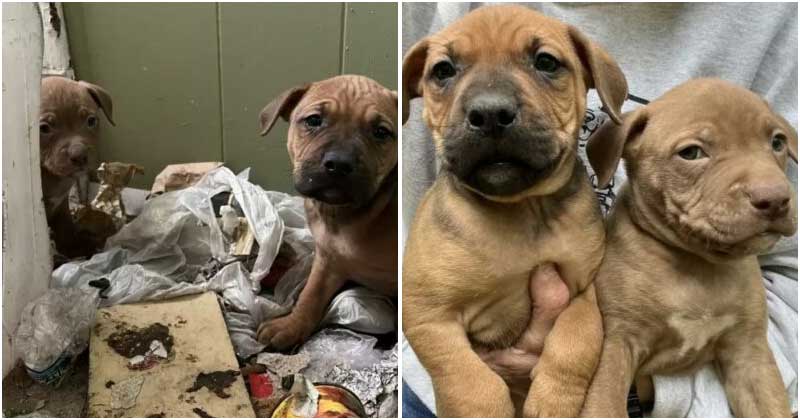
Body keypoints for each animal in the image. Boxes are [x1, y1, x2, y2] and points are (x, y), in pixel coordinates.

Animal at [39, 76, 115, 258]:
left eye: (91, 121)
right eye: (44, 128)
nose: (79, 156)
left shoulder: (61, 204)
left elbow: (65, 227)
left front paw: (74, 247)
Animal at [256, 76, 396, 352]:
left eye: (381, 133)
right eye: (313, 121)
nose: (339, 164)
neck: (340, 214)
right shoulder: (328, 259)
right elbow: (311, 295)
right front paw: (290, 327)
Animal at [404, 5, 628, 416]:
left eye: (546, 62)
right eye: (443, 70)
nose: (490, 113)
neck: (523, 207)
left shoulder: (583, 291)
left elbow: (578, 341)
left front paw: (555, 400)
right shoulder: (428, 314)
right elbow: (468, 380)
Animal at [584, 78, 796, 416]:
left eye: (777, 143)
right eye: (691, 153)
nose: (776, 199)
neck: (698, 262)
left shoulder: (749, 351)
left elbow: (771, 407)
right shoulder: (616, 345)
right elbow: (604, 405)